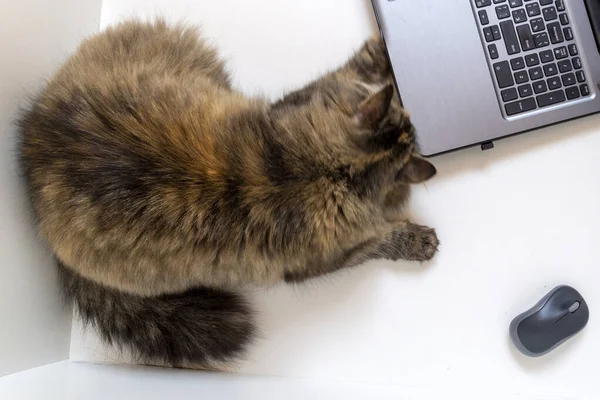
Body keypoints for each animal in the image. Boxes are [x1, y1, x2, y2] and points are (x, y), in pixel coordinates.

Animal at [18, 18, 438, 368]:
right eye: (407, 119)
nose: (415, 123)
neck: (328, 171)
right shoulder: (330, 256)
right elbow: (382, 238)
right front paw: (415, 239)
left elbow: (362, 62)